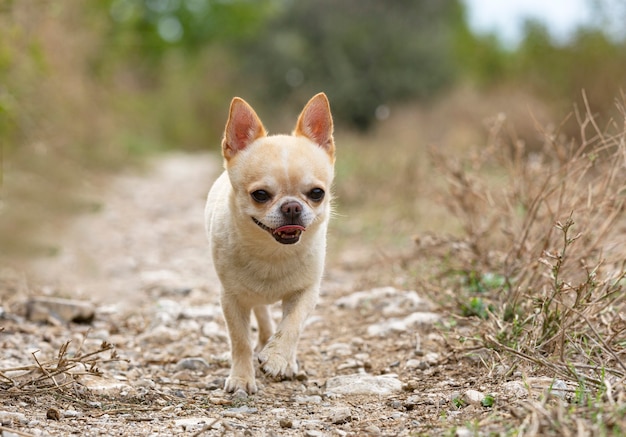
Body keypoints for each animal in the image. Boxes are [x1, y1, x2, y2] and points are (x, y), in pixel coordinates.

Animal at [205, 92, 334, 392]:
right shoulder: (232, 299)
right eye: (260, 195)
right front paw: (242, 378)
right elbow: (240, 341)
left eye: (317, 193)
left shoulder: (306, 292)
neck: (272, 252)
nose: (291, 207)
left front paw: (277, 358)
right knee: (261, 314)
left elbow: (292, 326)